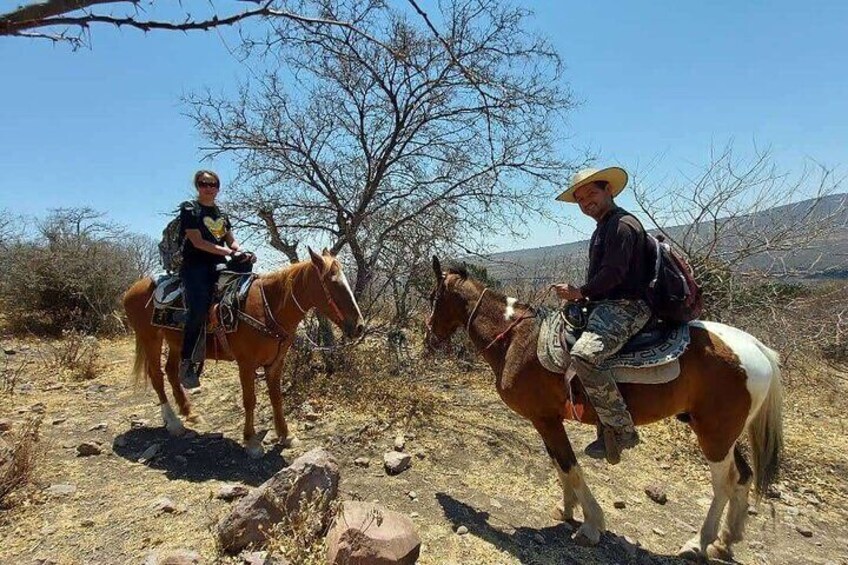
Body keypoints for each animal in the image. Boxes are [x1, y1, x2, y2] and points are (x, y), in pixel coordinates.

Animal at [124, 248, 362, 458]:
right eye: (334, 283)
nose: (359, 326)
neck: (269, 307)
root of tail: (132, 289)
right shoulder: (246, 364)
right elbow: (250, 400)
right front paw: (251, 442)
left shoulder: (275, 363)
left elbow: (276, 398)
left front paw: (286, 435)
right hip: (150, 339)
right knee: (157, 376)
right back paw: (174, 423)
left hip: (175, 343)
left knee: (172, 372)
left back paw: (190, 413)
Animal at [424, 258, 780, 560]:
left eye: (431, 298)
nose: (429, 339)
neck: (518, 341)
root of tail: (757, 348)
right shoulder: (546, 420)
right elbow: (559, 464)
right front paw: (566, 510)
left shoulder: (545, 420)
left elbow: (570, 466)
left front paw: (591, 525)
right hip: (722, 432)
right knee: (743, 477)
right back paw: (725, 542)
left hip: (714, 435)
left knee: (724, 484)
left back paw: (700, 543)